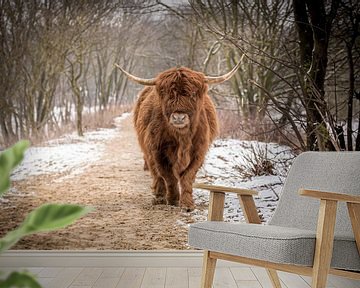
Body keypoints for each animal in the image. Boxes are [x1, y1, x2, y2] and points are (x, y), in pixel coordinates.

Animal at [116, 63, 242, 210]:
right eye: (166, 94)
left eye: (193, 94)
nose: (179, 117)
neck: (182, 138)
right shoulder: (157, 150)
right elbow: (168, 176)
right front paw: (173, 199)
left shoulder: (198, 152)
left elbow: (188, 176)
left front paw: (187, 203)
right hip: (147, 150)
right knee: (156, 174)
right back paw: (159, 197)